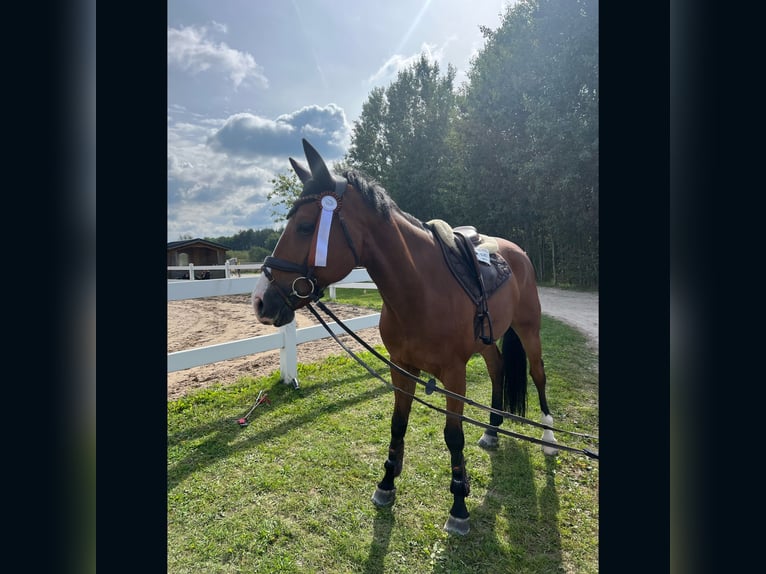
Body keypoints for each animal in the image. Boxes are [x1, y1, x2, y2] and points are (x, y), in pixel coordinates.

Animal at [252, 138, 560, 536]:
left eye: (305, 226)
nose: (261, 301)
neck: (421, 288)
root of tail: (515, 251)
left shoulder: (454, 375)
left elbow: (453, 435)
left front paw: (459, 506)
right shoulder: (401, 368)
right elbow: (398, 423)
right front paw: (386, 484)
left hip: (529, 329)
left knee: (538, 375)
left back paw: (549, 439)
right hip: (489, 341)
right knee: (498, 369)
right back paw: (492, 430)